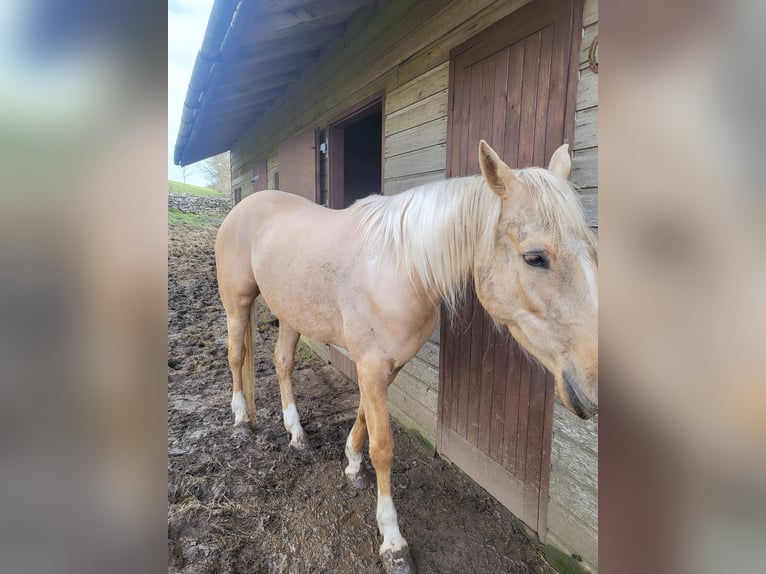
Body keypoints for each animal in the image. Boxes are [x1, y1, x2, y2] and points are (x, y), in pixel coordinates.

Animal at [214, 140, 598, 574]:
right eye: (535, 257)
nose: (593, 383)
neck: (402, 267)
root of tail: (246, 205)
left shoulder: (385, 366)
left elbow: (364, 416)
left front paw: (351, 465)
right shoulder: (371, 366)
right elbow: (383, 448)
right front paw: (392, 541)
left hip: (291, 313)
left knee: (283, 363)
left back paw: (296, 434)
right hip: (237, 304)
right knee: (236, 356)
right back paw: (241, 421)